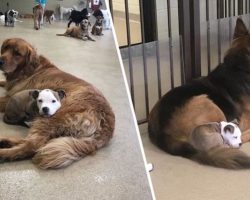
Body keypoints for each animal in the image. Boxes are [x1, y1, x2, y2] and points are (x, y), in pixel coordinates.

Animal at [0, 38, 115, 169]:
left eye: (17, 54)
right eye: (5, 48)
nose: (0, 60)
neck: (28, 69)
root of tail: (107, 125)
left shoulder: (10, 97)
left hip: (50, 117)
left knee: (32, 145)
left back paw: (3, 152)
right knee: (33, 142)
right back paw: (4, 141)